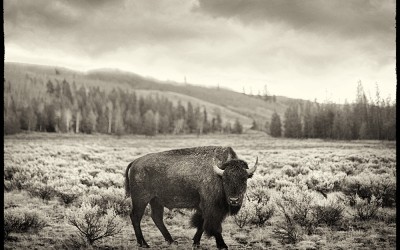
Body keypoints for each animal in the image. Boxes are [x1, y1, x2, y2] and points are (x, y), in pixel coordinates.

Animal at [123, 146, 258, 249]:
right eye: (225, 180)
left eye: (244, 179)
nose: (234, 200)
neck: (218, 173)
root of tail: (135, 162)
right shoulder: (211, 208)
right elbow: (215, 226)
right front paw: (222, 245)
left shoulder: (204, 208)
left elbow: (201, 225)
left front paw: (196, 243)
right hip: (141, 200)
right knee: (135, 217)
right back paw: (144, 244)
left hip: (155, 201)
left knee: (157, 218)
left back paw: (171, 241)